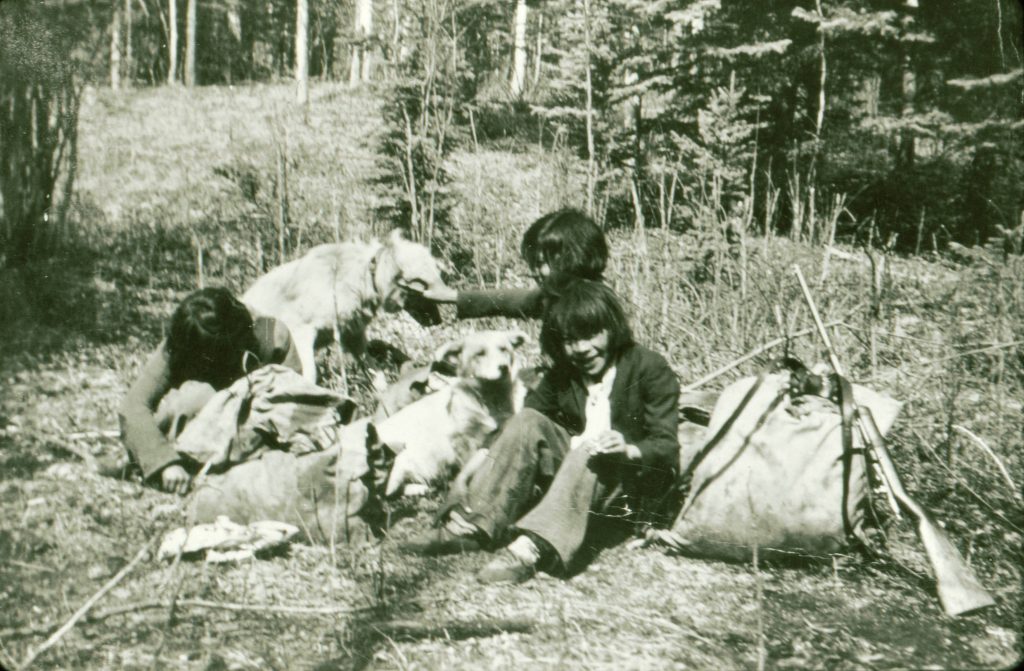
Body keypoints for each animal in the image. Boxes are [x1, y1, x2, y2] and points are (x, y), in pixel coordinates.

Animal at [243, 229, 448, 383]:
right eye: (419, 287)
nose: (438, 321)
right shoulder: (301, 331)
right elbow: (310, 376)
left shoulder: (353, 336)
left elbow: (377, 373)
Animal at [378, 329, 532, 497]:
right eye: (480, 354)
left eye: (504, 349)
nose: (504, 367)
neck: (491, 397)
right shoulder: (463, 440)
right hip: (399, 458)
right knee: (386, 492)